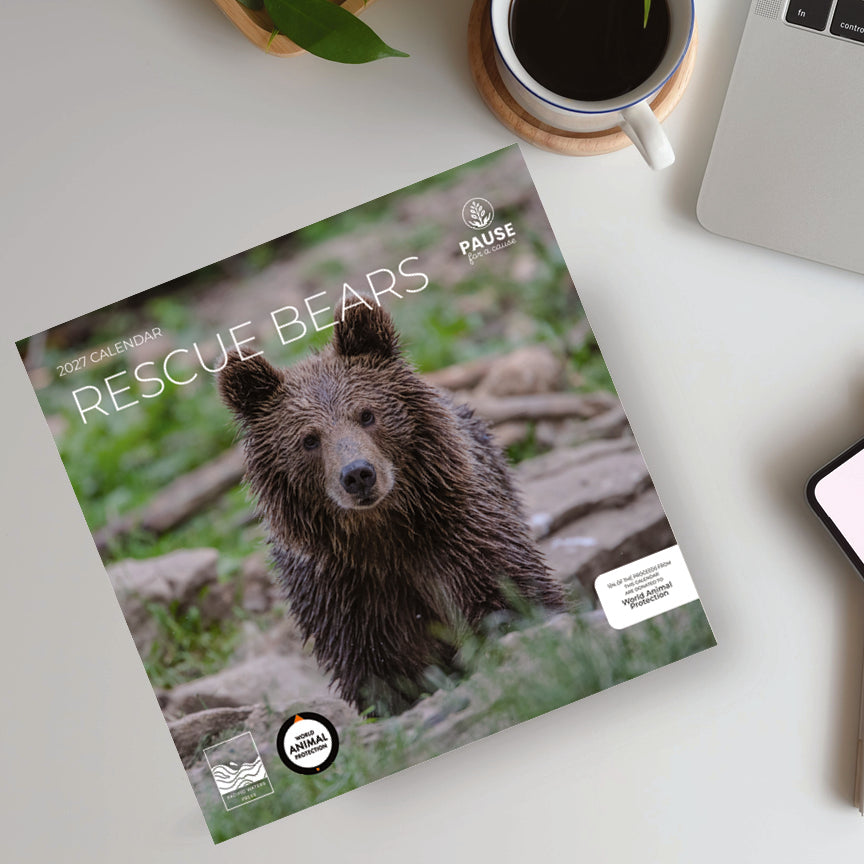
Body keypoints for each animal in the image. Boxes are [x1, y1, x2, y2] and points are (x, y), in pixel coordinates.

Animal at [218, 299, 565, 715]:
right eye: (309, 439)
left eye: (367, 414)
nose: (358, 474)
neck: (384, 534)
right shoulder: (344, 592)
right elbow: (382, 668)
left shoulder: (460, 531)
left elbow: (508, 593)